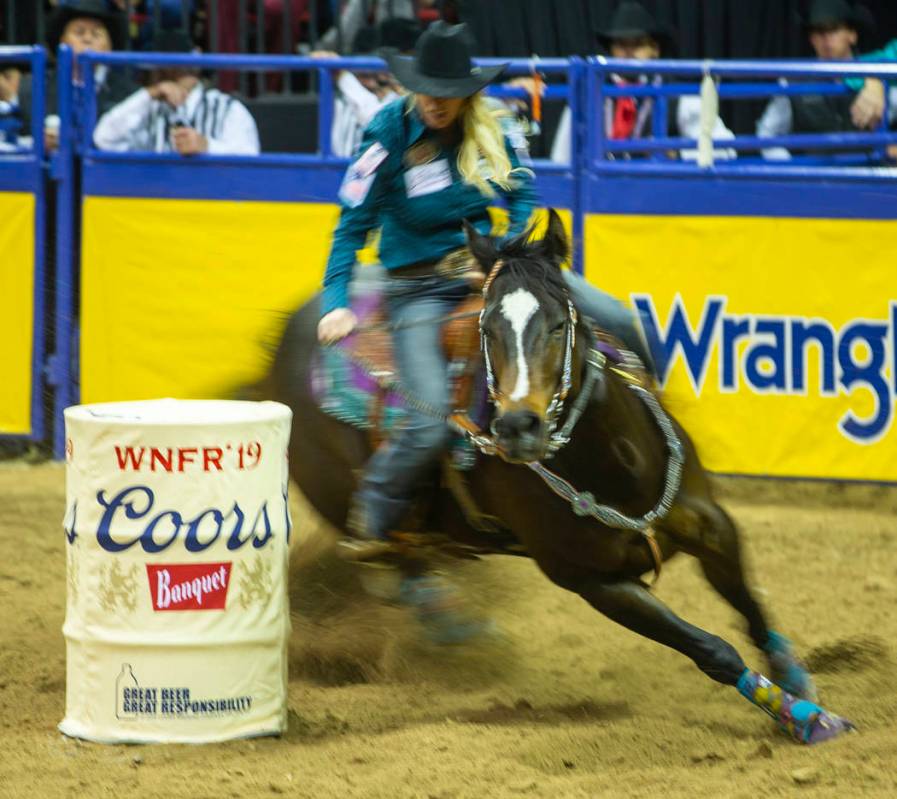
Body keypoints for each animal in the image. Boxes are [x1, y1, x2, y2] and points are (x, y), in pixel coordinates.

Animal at [262, 211, 852, 744]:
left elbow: (751, 607)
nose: (518, 426)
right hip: (347, 503)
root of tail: (290, 333)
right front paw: (802, 718)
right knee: (397, 572)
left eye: (559, 323)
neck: (619, 466)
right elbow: (712, 648)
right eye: (488, 328)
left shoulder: (711, 523)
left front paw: (799, 687)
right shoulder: (592, 581)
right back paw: (467, 635)